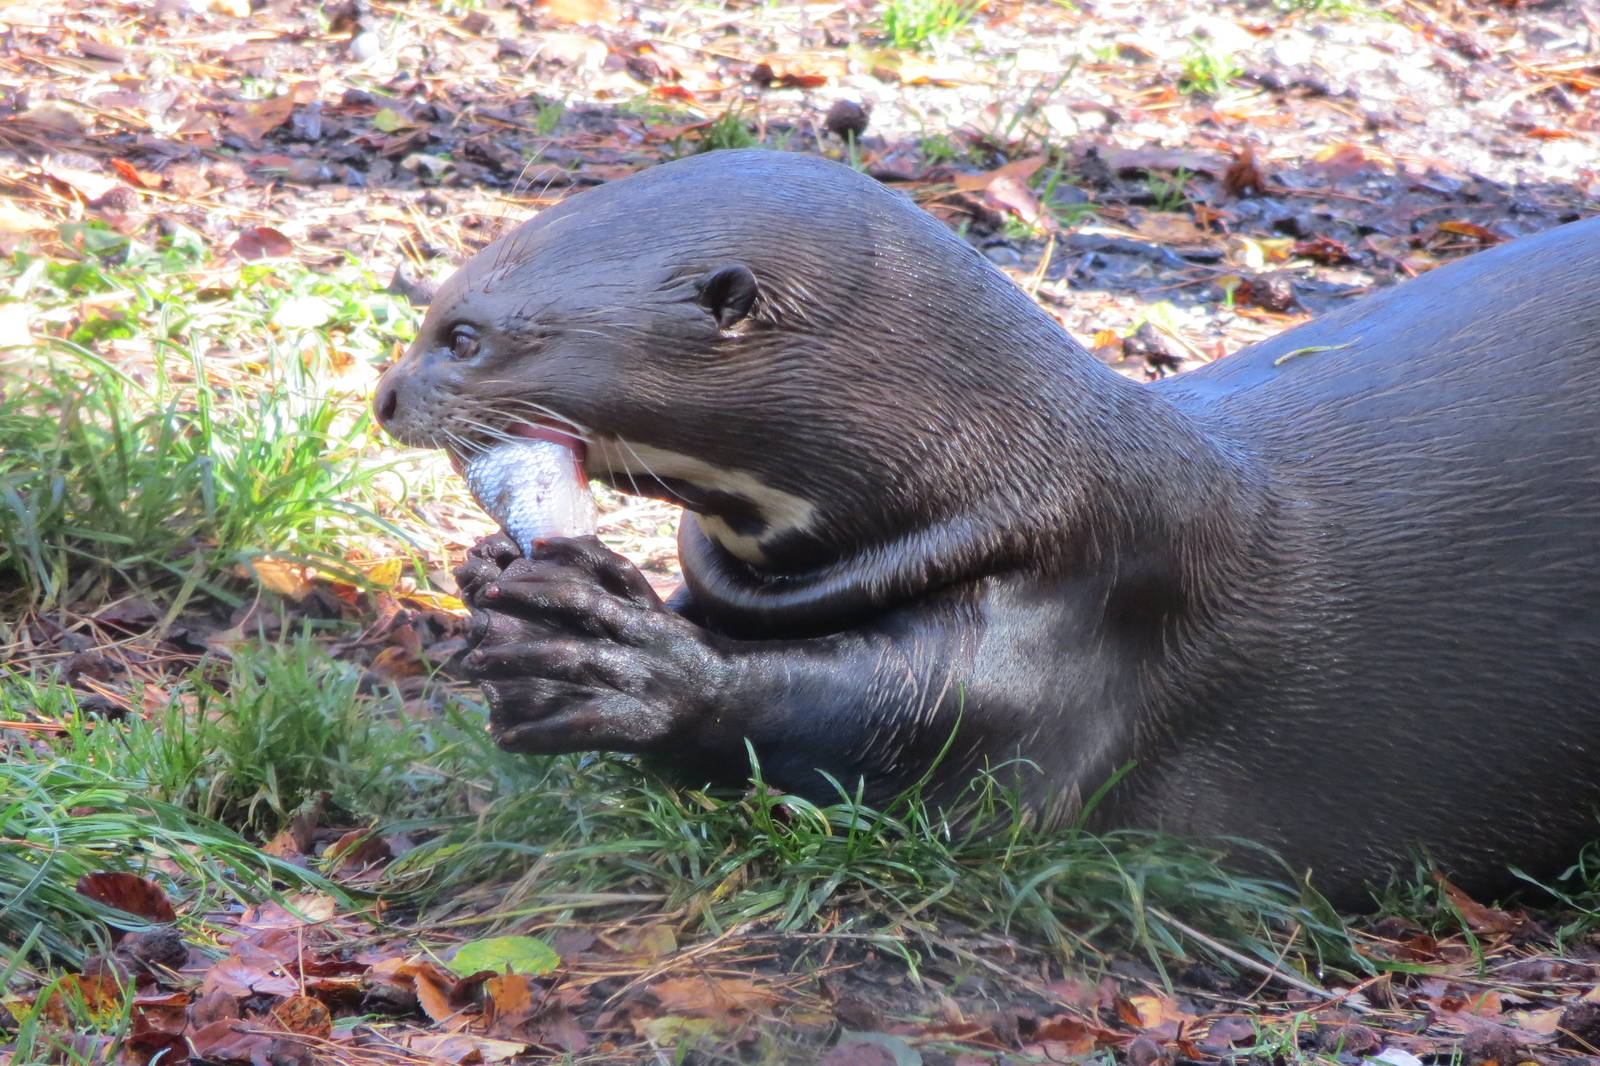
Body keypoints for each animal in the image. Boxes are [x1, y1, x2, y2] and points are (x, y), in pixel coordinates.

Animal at [374, 149, 1600, 903]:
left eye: (468, 338)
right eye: (433, 311)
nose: (385, 395)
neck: (1003, 479)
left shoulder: (1093, 600)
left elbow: (905, 738)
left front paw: (621, 663)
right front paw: (494, 585)